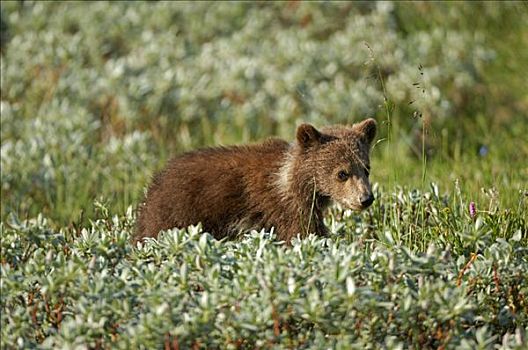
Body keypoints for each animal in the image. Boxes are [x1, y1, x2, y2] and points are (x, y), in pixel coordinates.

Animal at [135, 119, 376, 242]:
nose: (366, 199)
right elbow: (301, 234)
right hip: (179, 213)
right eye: (342, 173)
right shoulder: (285, 209)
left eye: (366, 168)